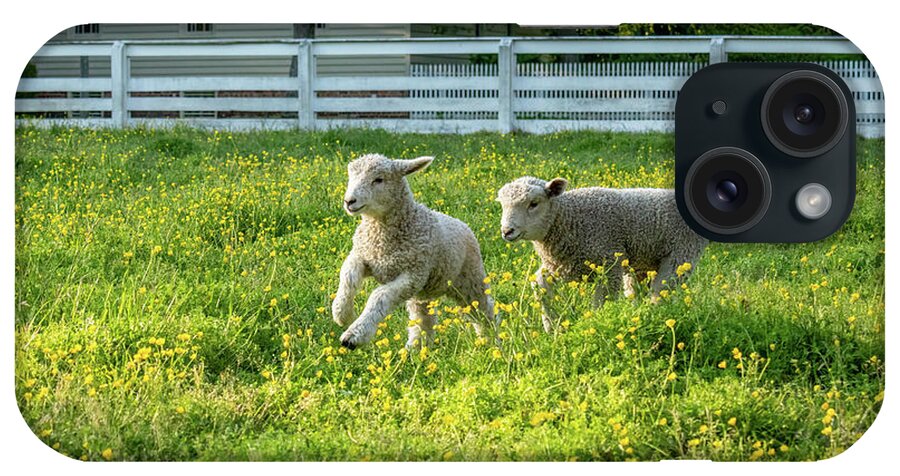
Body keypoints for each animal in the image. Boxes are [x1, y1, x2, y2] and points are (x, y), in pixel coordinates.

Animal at [334, 154, 496, 348]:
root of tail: (461, 223)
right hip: (423, 293)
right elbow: (347, 275)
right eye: (351, 176)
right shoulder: (364, 257)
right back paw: (416, 349)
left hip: (470, 279)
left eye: (379, 179)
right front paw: (342, 313)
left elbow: (379, 296)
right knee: (423, 319)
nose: (349, 201)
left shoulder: (413, 275)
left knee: (483, 309)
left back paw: (492, 341)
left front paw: (354, 335)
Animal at [496, 177, 708, 332]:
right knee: (637, 292)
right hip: (644, 261)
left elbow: (600, 304)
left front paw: (595, 325)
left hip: (680, 255)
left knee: (660, 291)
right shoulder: (561, 265)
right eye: (502, 205)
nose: (507, 231)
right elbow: (538, 284)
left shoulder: (609, 265)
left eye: (534, 203)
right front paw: (553, 327)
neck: (569, 218)